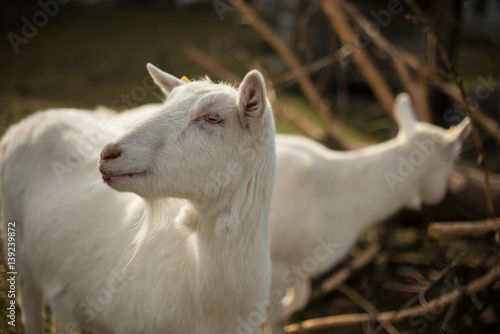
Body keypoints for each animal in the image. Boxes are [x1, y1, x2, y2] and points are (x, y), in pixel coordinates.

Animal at [266, 92, 472, 332]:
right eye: (455, 157)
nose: (443, 193)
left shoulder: (300, 262)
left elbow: (298, 300)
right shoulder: (277, 264)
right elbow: (274, 315)